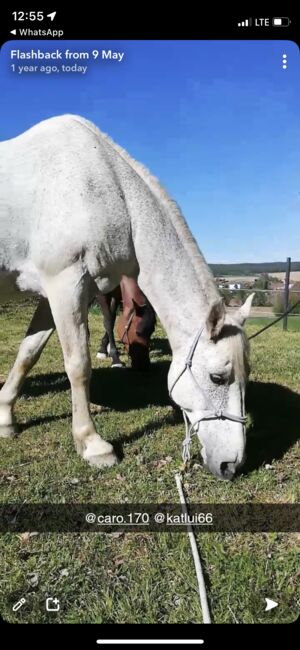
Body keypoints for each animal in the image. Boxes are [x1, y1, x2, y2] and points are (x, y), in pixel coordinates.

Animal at [0, 115, 253, 480]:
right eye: (217, 377)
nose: (231, 465)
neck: (106, 187)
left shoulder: (54, 295)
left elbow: (27, 354)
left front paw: (5, 418)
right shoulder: (66, 284)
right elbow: (78, 365)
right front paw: (92, 444)